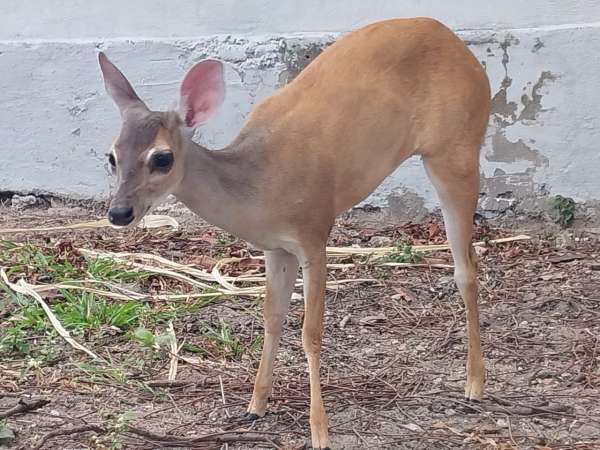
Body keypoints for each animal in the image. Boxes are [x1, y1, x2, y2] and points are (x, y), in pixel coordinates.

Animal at [99, 17, 492, 450]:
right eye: (112, 155)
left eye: (162, 158)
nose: (118, 212)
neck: (262, 186)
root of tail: (456, 42)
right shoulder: (275, 248)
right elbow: (272, 318)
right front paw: (255, 405)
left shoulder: (314, 233)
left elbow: (311, 333)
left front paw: (319, 430)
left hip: (456, 148)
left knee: (467, 267)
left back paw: (475, 385)